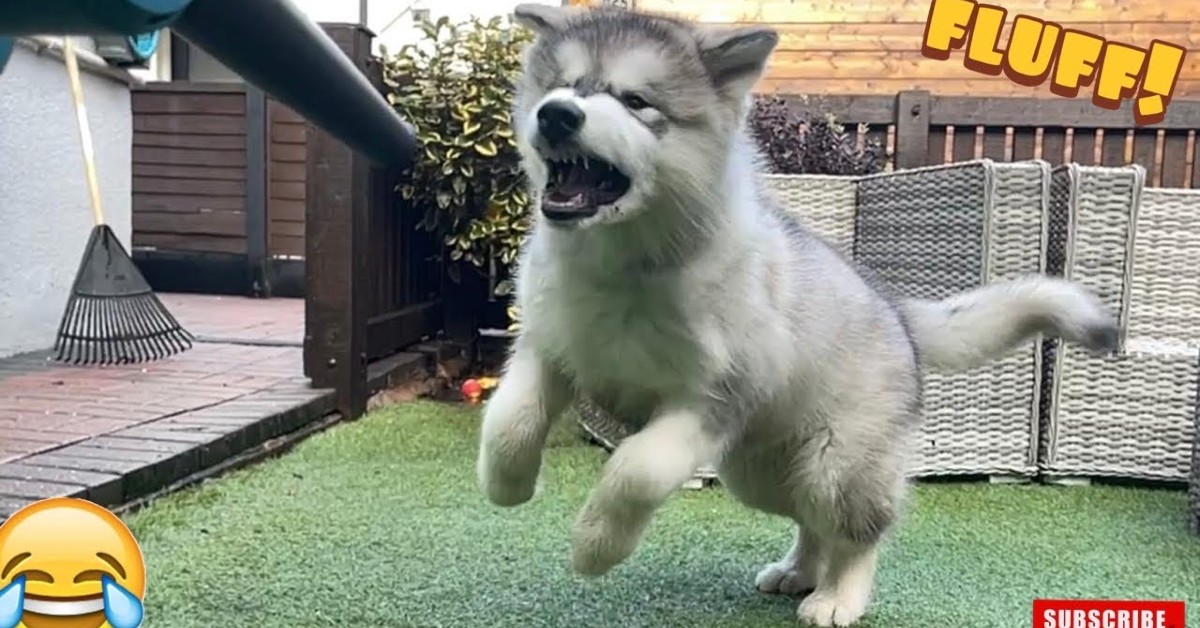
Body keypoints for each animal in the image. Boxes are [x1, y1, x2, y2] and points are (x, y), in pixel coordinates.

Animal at [475, 6, 1113, 628]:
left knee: (855, 532)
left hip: (839, 464)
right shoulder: (548, 350)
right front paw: (506, 485)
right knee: (811, 520)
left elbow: (636, 468)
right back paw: (800, 571)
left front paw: (594, 545)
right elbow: (510, 419)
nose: (557, 115)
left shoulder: (710, 400)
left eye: (635, 101)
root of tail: (897, 311)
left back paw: (838, 598)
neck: (624, 266)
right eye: (559, 87)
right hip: (759, 472)